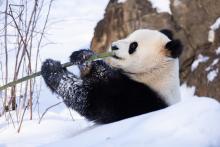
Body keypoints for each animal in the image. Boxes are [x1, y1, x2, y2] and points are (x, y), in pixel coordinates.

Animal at [40, 28, 182, 123]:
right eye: (128, 36)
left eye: (133, 46)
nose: (113, 46)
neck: (153, 71)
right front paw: (84, 57)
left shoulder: (139, 98)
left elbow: (91, 101)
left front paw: (51, 69)